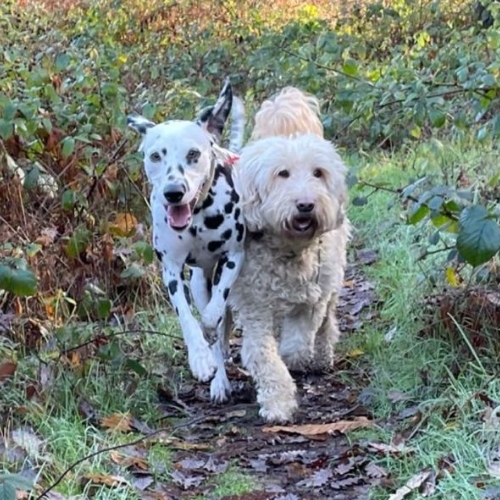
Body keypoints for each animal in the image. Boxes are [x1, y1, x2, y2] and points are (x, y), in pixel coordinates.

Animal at [128, 82, 245, 402]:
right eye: (156, 156)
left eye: (194, 153)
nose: (173, 192)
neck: (198, 217)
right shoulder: (171, 270)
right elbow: (186, 317)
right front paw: (200, 357)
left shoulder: (234, 256)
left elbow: (214, 312)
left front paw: (212, 329)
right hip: (197, 281)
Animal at [229, 87, 350, 422]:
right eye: (282, 174)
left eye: (318, 173)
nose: (305, 204)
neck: (289, 250)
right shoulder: (254, 306)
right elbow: (264, 356)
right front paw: (278, 403)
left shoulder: (312, 299)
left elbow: (297, 344)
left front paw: (296, 358)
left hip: (332, 279)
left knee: (327, 323)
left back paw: (321, 356)